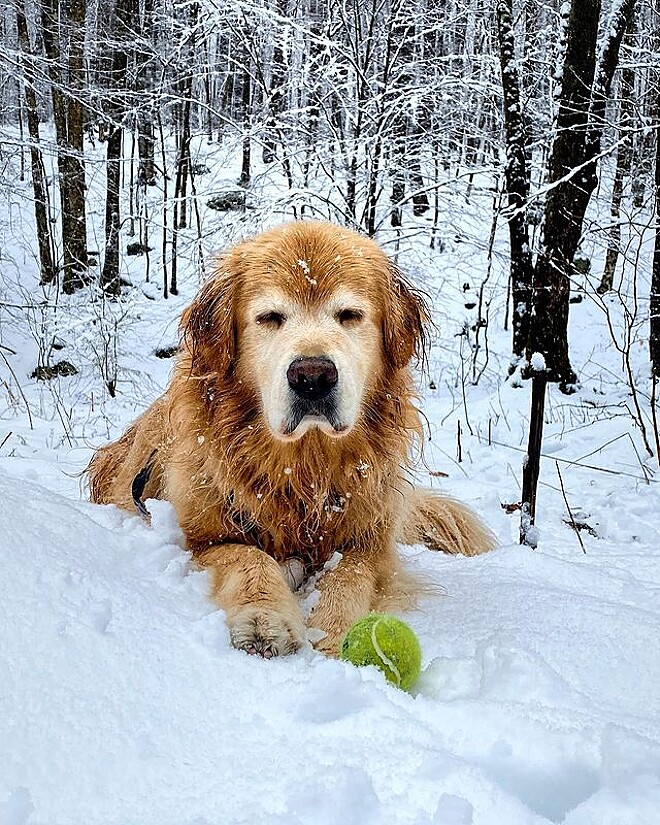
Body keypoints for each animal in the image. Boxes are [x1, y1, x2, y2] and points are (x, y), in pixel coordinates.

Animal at [87, 220, 492, 656]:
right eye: (270, 317)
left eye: (349, 315)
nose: (312, 377)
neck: (304, 468)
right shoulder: (203, 539)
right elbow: (248, 557)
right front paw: (265, 618)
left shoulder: (370, 544)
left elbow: (349, 574)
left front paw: (334, 632)